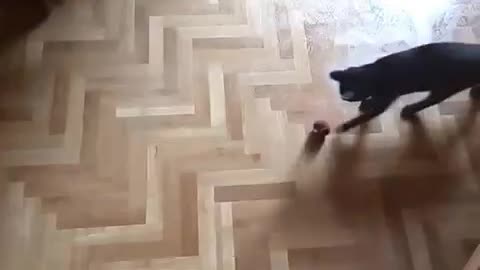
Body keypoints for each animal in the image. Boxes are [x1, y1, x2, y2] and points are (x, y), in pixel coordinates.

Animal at [332, 42, 480, 133]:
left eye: (347, 99)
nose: (343, 99)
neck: (374, 72)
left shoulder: (385, 99)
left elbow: (364, 116)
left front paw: (345, 126)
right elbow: (372, 100)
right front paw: (366, 103)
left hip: (445, 87)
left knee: (429, 101)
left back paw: (409, 110)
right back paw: (475, 92)